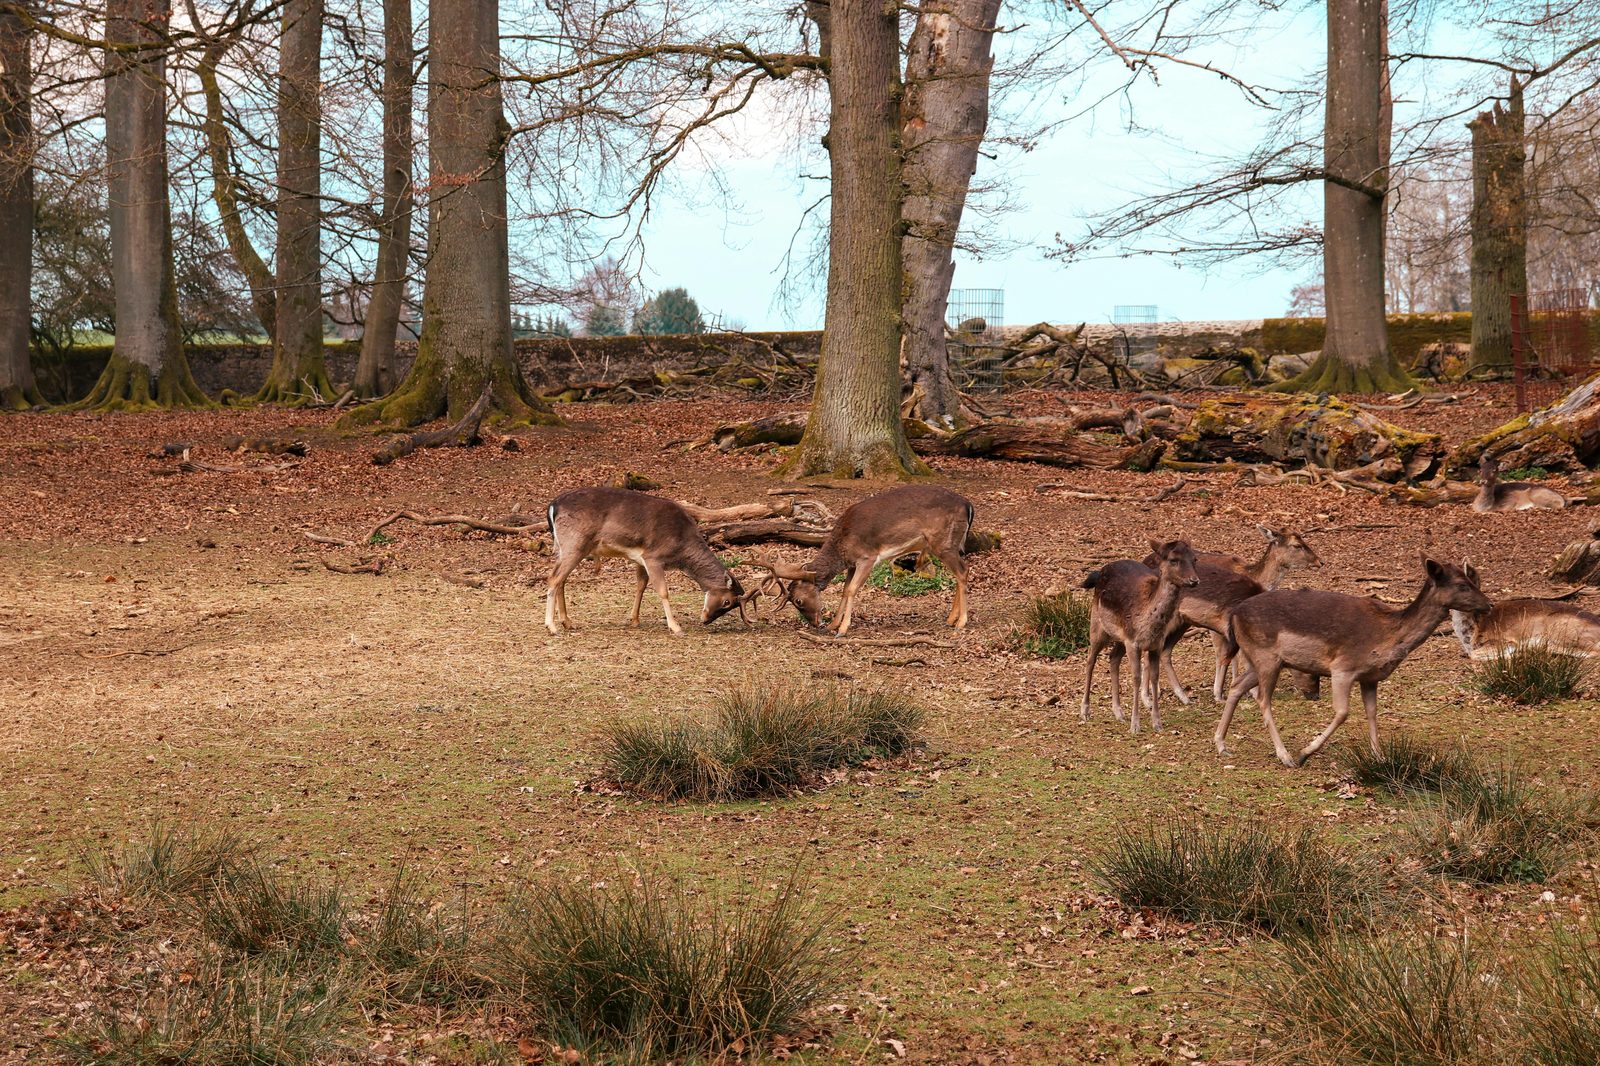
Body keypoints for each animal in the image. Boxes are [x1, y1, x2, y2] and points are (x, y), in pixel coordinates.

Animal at [543, 487, 751, 636]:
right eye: (727, 602)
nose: (705, 620)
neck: (681, 548)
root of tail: (553, 506)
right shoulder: (653, 557)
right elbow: (663, 591)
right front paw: (676, 627)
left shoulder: (639, 559)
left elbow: (641, 586)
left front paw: (634, 620)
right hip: (574, 543)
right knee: (553, 578)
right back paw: (552, 627)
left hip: (564, 547)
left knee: (561, 580)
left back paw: (568, 622)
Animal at [742, 485, 974, 636]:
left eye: (798, 600)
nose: (816, 623)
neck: (842, 545)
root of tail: (968, 504)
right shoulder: (852, 563)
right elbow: (845, 590)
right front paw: (834, 625)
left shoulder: (867, 557)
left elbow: (853, 589)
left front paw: (843, 629)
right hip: (949, 545)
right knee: (959, 573)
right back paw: (950, 619)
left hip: (943, 541)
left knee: (963, 572)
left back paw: (961, 622)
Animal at [1079, 539, 1201, 735]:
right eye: (1173, 559)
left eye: (1194, 558)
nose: (1194, 580)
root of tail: (1099, 573)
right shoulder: (1133, 642)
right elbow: (1136, 678)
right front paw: (1135, 725)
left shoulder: (1155, 645)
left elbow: (1155, 677)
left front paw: (1157, 723)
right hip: (1097, 625)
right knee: (1090, 660)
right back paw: (1085, 711)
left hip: (1120, 636)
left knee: (1113, 657)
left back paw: (1119, 712)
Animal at [1145, 527, 1321, 704]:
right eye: (1297, 545)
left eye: (1303, 538)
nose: (1320, 561)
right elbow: (1224, 654)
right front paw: (1226, 692)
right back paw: (1150, 696)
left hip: (1182, 621)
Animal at [1214, 557, 1493, 768]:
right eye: (1462, 585)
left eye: (1472, 580)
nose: (1489, 604)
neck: (1387, 637)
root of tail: (1234, 614)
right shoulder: (1343, 667)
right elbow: (1343, 712)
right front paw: (1306, 752)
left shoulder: (1370, 678)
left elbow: (1372, 712)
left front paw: (1380, 758)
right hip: (1266, 657)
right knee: (1263, 698)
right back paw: (1286, 756)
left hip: (1259, 660)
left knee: (1237, 687)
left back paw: (1221, 744)